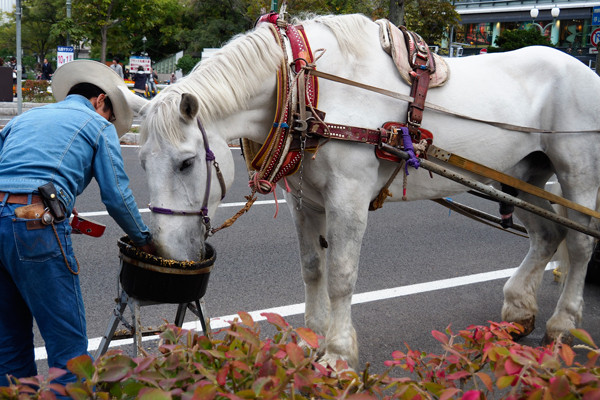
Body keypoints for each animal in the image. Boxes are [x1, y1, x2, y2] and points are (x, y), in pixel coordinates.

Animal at [134, 12, 600, 368]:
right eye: (142, 164)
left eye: (186, 162)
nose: (167, 253)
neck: (307, 86)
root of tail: (587, 70)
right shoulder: (304, 200)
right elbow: (312, 268)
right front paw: (310, 339)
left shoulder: (349, 196)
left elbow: (341, 275)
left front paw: (338, 354)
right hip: (521, 177)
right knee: (547, 236)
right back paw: (518, 311)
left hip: (576, 173)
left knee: (579, 243)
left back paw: (563, 325)